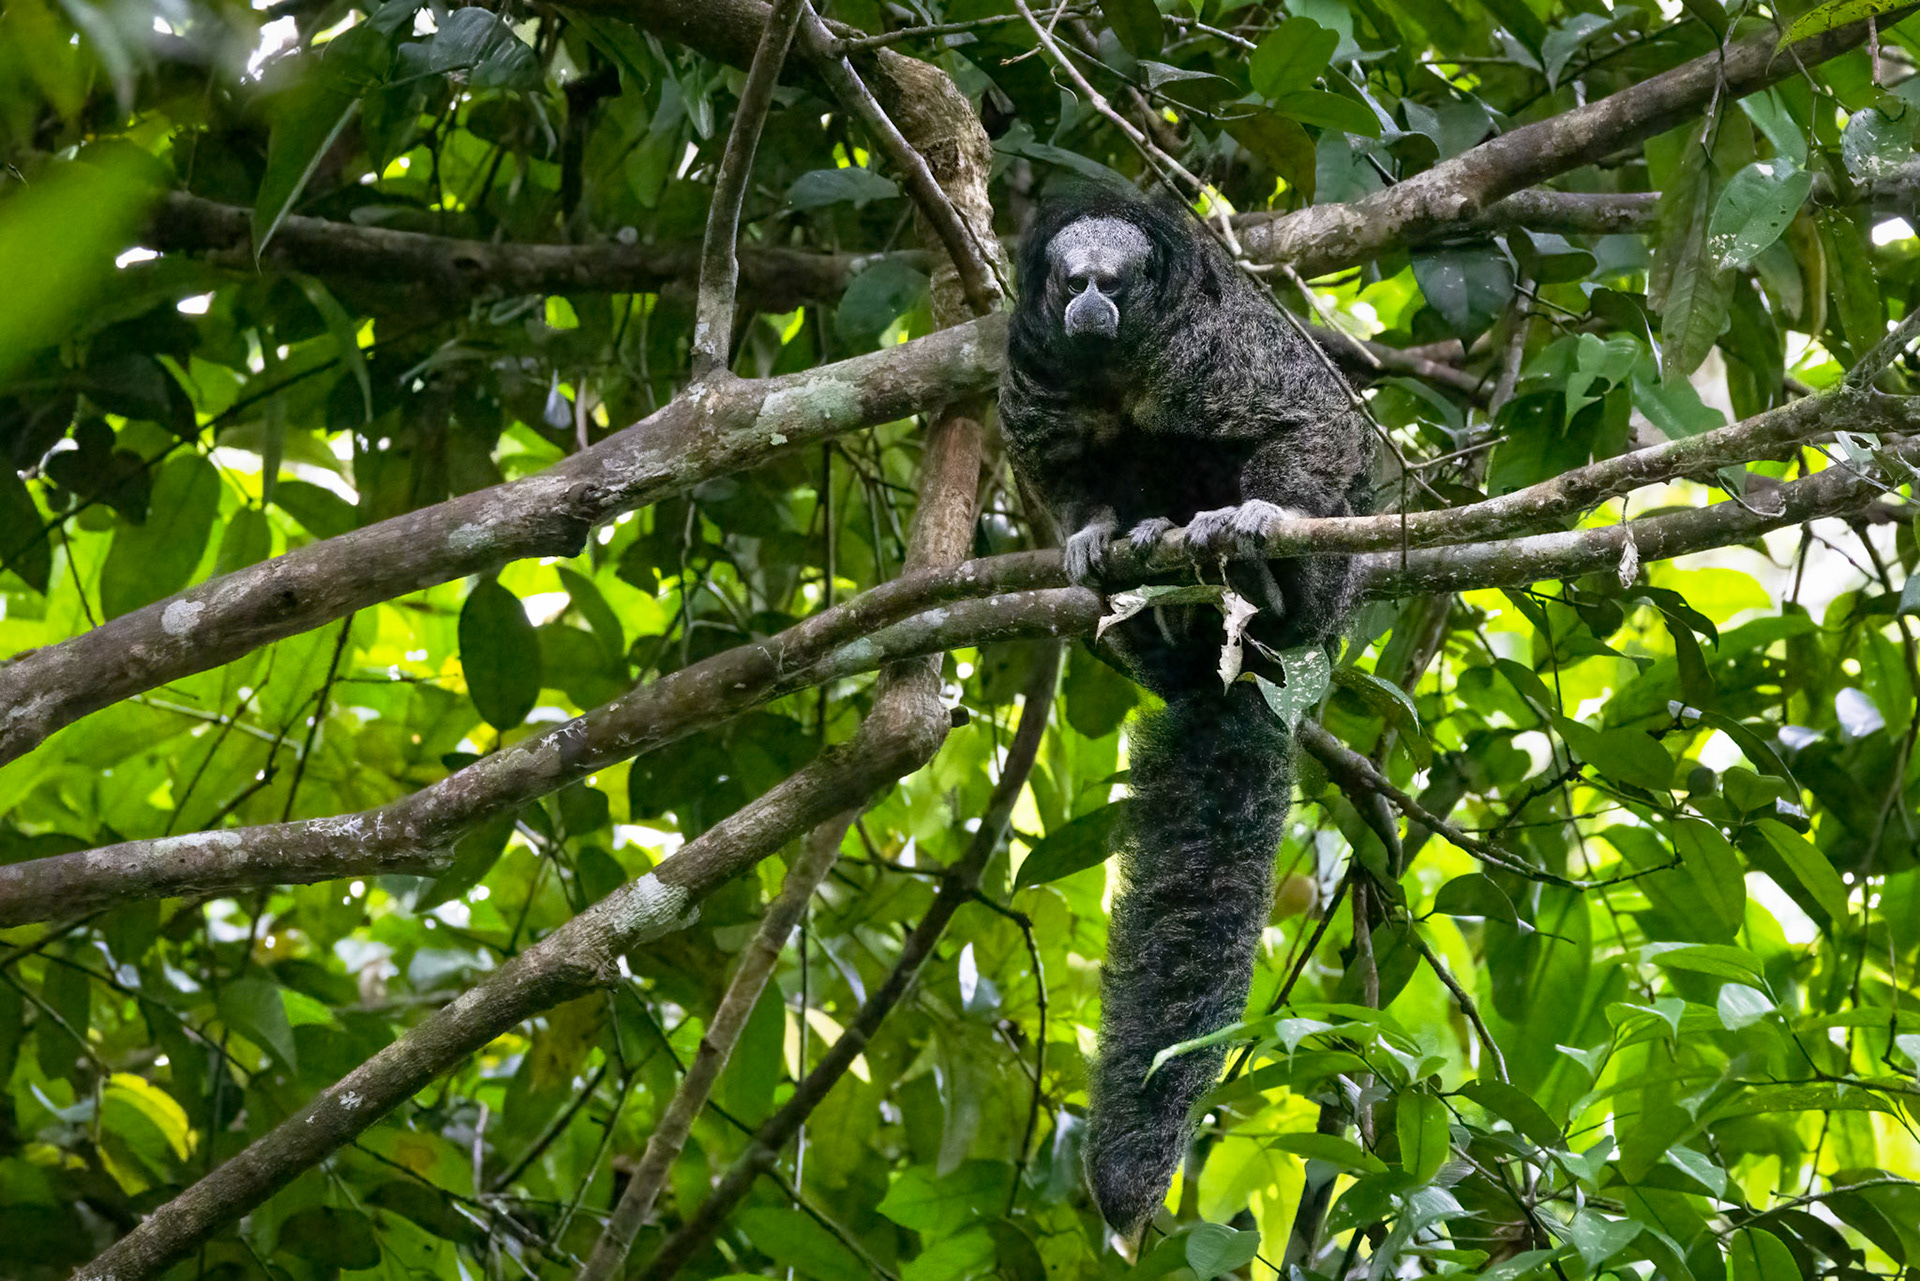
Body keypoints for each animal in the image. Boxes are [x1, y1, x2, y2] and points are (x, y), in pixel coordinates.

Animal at [997, 186, 1373, 1238]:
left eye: (1115, 284)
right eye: (1069, 283)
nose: (1090, 302)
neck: (1119, 371)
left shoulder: (1219, 355)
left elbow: (1316, 424)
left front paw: (1257, 522)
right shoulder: (1031, 380)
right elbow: (1065, 477)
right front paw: (1090, 535)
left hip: (1329, 602)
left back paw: (1252, 573)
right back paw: (1155, 575)